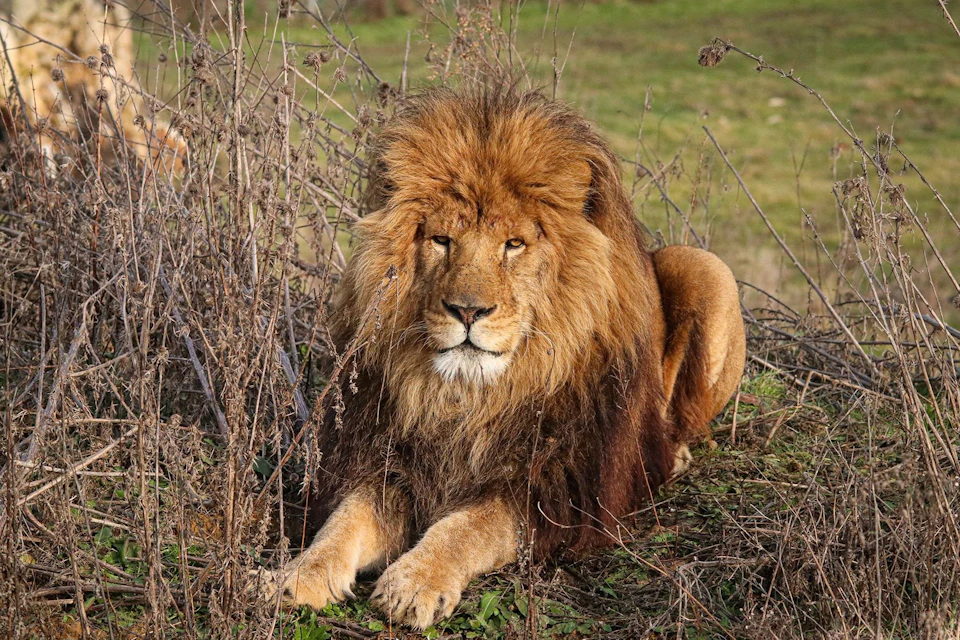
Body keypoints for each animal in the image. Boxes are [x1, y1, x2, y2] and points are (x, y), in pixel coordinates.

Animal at [265, 87, 746, 630]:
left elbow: (467, 527)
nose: (468, 311)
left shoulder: (551, 492)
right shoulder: (394, 465)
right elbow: (343, 522)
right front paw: (296, 577)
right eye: (441, 240)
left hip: (706, 268)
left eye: (513, 244)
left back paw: (670, 453)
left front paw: (414, 583)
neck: (470, 397)